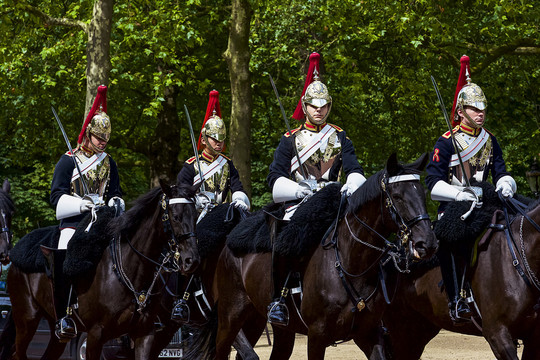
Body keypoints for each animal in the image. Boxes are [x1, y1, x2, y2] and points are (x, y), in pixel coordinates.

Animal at [4, 183, 201, 360]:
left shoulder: (144, 334)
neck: (128, 270)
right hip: (27, 321)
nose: (191, 260)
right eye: (175, 216)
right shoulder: (95, 335)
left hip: (54, 332)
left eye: (195, 215)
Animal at [186, 153, 438, 358]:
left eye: (423, 194)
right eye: (397, 196)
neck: (351, 265)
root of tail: (230, 241)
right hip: (230, 318)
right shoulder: (317, 336)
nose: (427, 243)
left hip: (263, 322)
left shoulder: (369, 333)